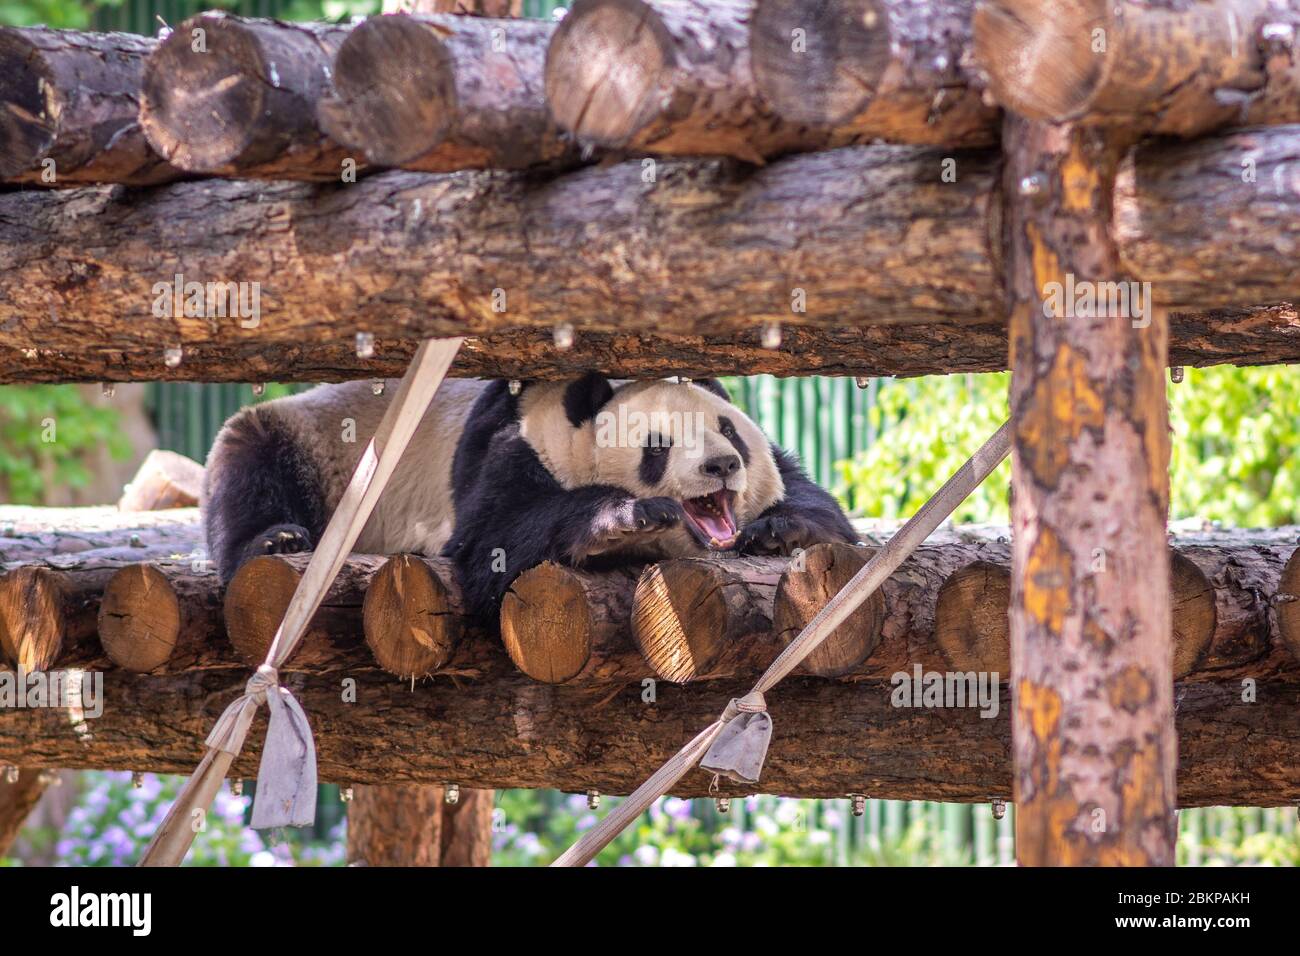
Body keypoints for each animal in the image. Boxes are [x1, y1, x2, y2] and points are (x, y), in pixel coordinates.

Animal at [202, 374, 857, 621]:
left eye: (728, 431)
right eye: (659, 445)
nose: (721, 466)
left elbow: (817, 503)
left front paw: (780, 528)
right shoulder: (506, 450)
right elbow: (493, 541)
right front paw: (627, 520)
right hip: (317, 444)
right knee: (248, 462)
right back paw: (276, 538)